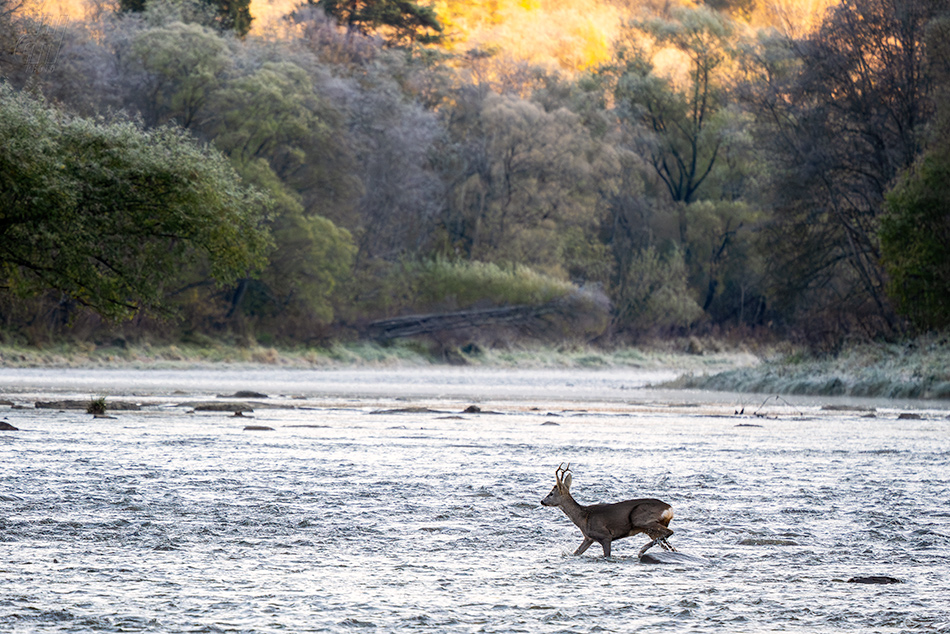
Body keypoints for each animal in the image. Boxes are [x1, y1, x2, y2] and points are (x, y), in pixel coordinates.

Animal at [544, 462, 676, 556]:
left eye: (551, 493)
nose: (542, 501)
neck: (583, 517)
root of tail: (669, 508)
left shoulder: (605, 536)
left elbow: (607, 555)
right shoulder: (588, 538)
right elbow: (576, 553)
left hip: (640, 518)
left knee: (670, 532)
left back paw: (641, 550)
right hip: (651, 530)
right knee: (670, 546)